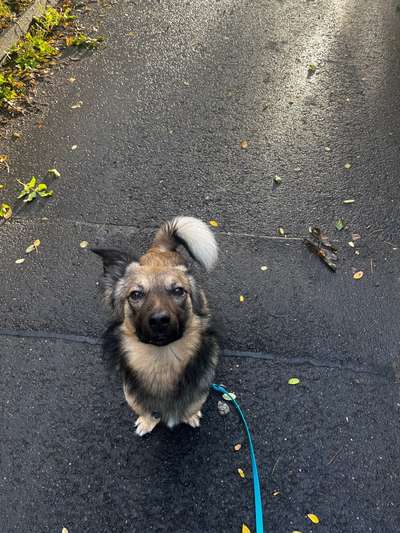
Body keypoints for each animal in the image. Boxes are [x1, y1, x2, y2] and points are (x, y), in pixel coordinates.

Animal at [92, 216, 220, 436]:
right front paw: (147, 422)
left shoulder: (197, 395)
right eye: (136, 294)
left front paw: (191, 416)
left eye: (178, 291)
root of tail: (160, 249)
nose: (160, 320)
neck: (161, 360)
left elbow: (191, 407)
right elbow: (147, 412)